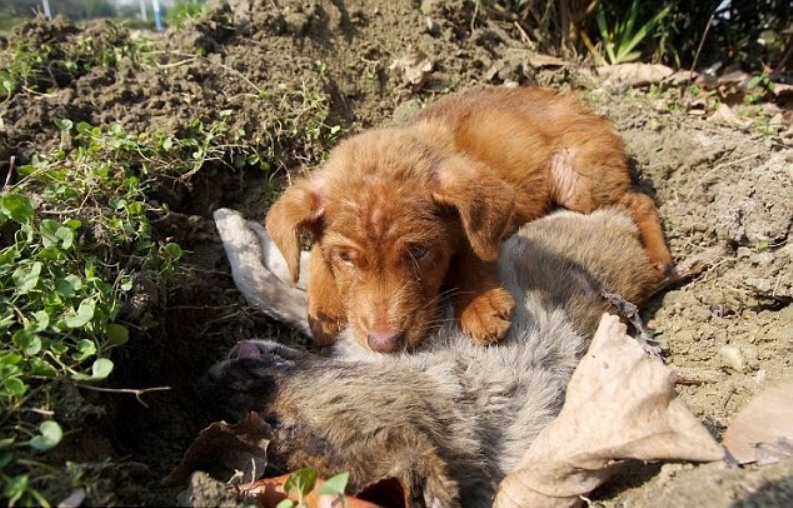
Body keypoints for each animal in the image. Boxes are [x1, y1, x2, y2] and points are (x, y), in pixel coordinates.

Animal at [264, 86, 671, 353]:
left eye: (420, 252)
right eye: (346, 257)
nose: (384, 344)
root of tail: (582, 105)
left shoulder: (479, 220)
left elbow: (471, 251)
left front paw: (480, 304)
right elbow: (316, 253)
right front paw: (324, 303)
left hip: (579, 179)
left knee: (638, 201)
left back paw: (659, 259)